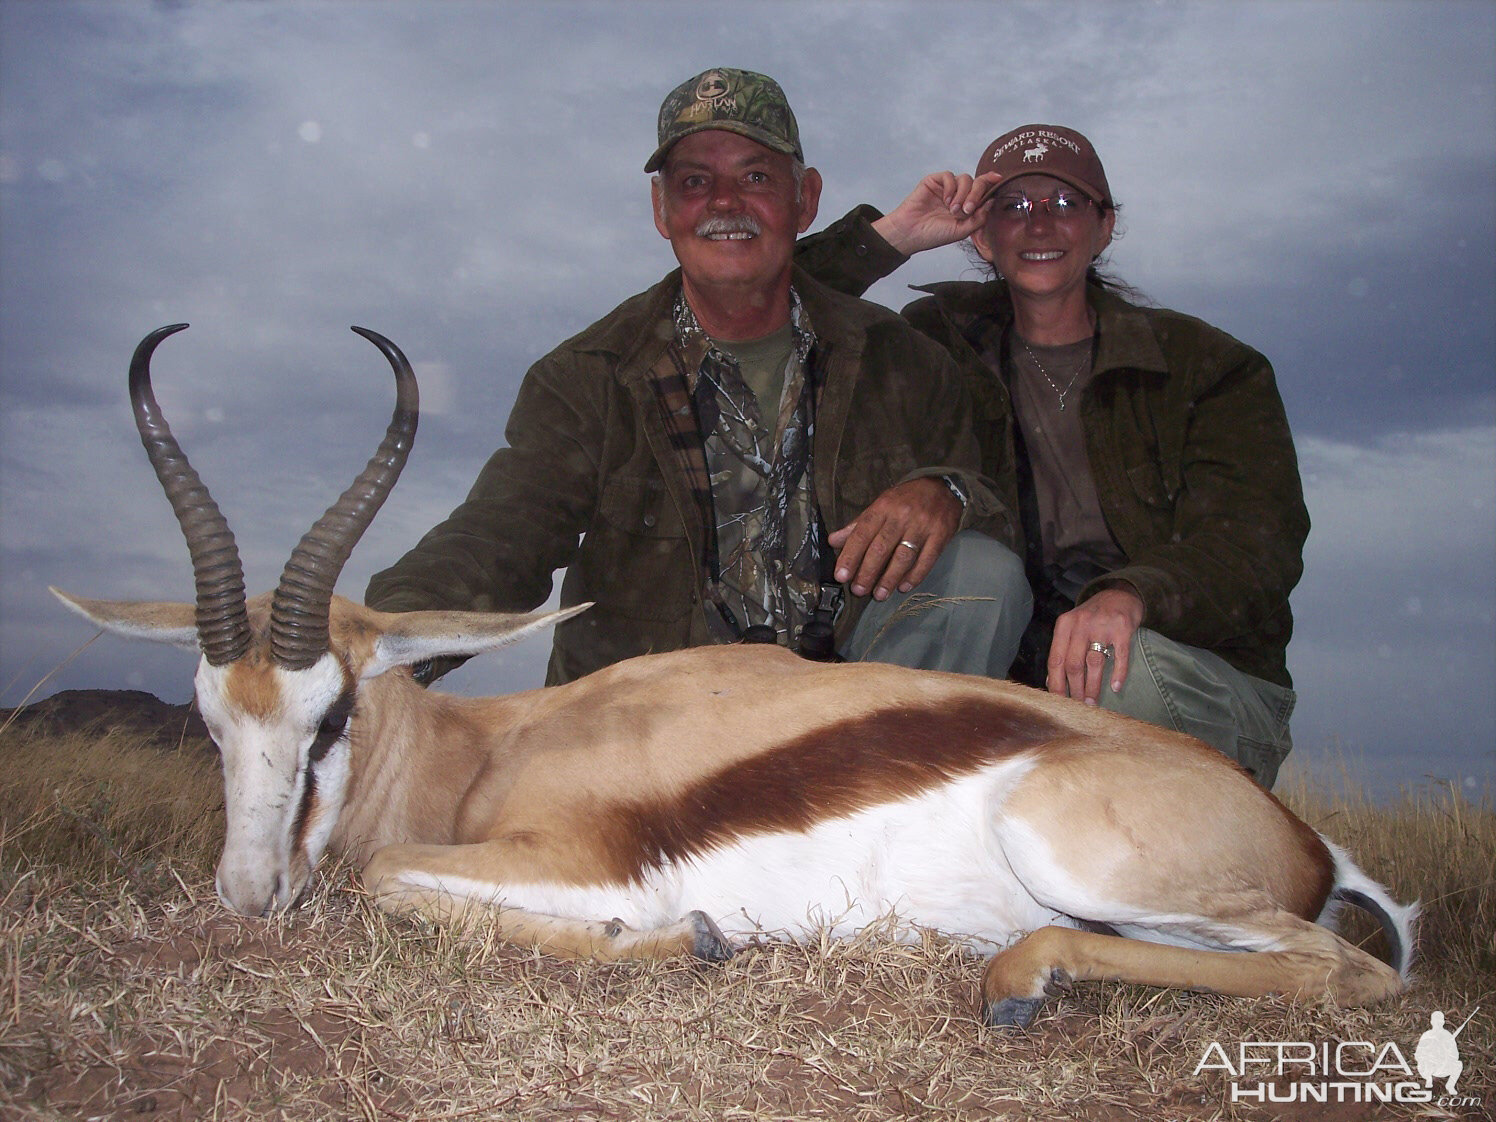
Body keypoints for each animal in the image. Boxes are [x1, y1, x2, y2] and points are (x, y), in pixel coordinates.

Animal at [52, 323, 1418, 1029]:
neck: (483, 754)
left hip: (1075, 858)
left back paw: (1016, 979)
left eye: (329, 713)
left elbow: (392, 880)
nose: (246, 896)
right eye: (207, 718)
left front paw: (687, 941)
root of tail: (1304, 838)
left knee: (1345, 970)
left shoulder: (578, 860)